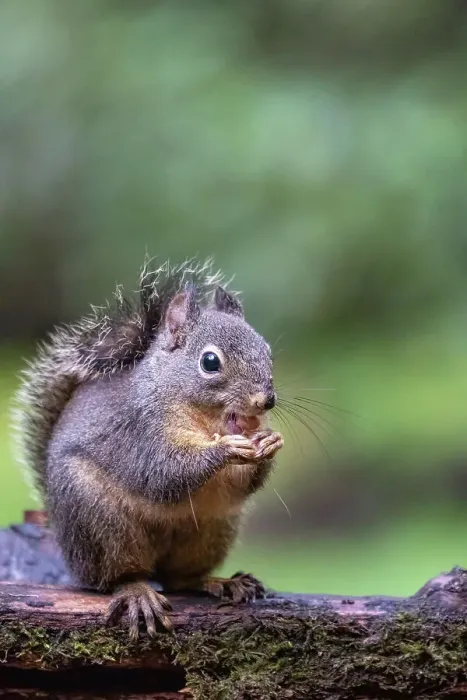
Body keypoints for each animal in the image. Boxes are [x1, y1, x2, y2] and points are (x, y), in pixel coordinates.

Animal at [13, 259, 284, 638]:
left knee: (179, 579)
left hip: (213, 528)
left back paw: (220, 582)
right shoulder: (140, 431)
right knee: (118, 577)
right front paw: (226, 448)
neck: (205, 418)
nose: (265, 401)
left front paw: (268, 442)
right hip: (99, 523)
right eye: (210, 362)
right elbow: (162, 472)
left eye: (267, 351)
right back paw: (136, 593)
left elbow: (241, 483)